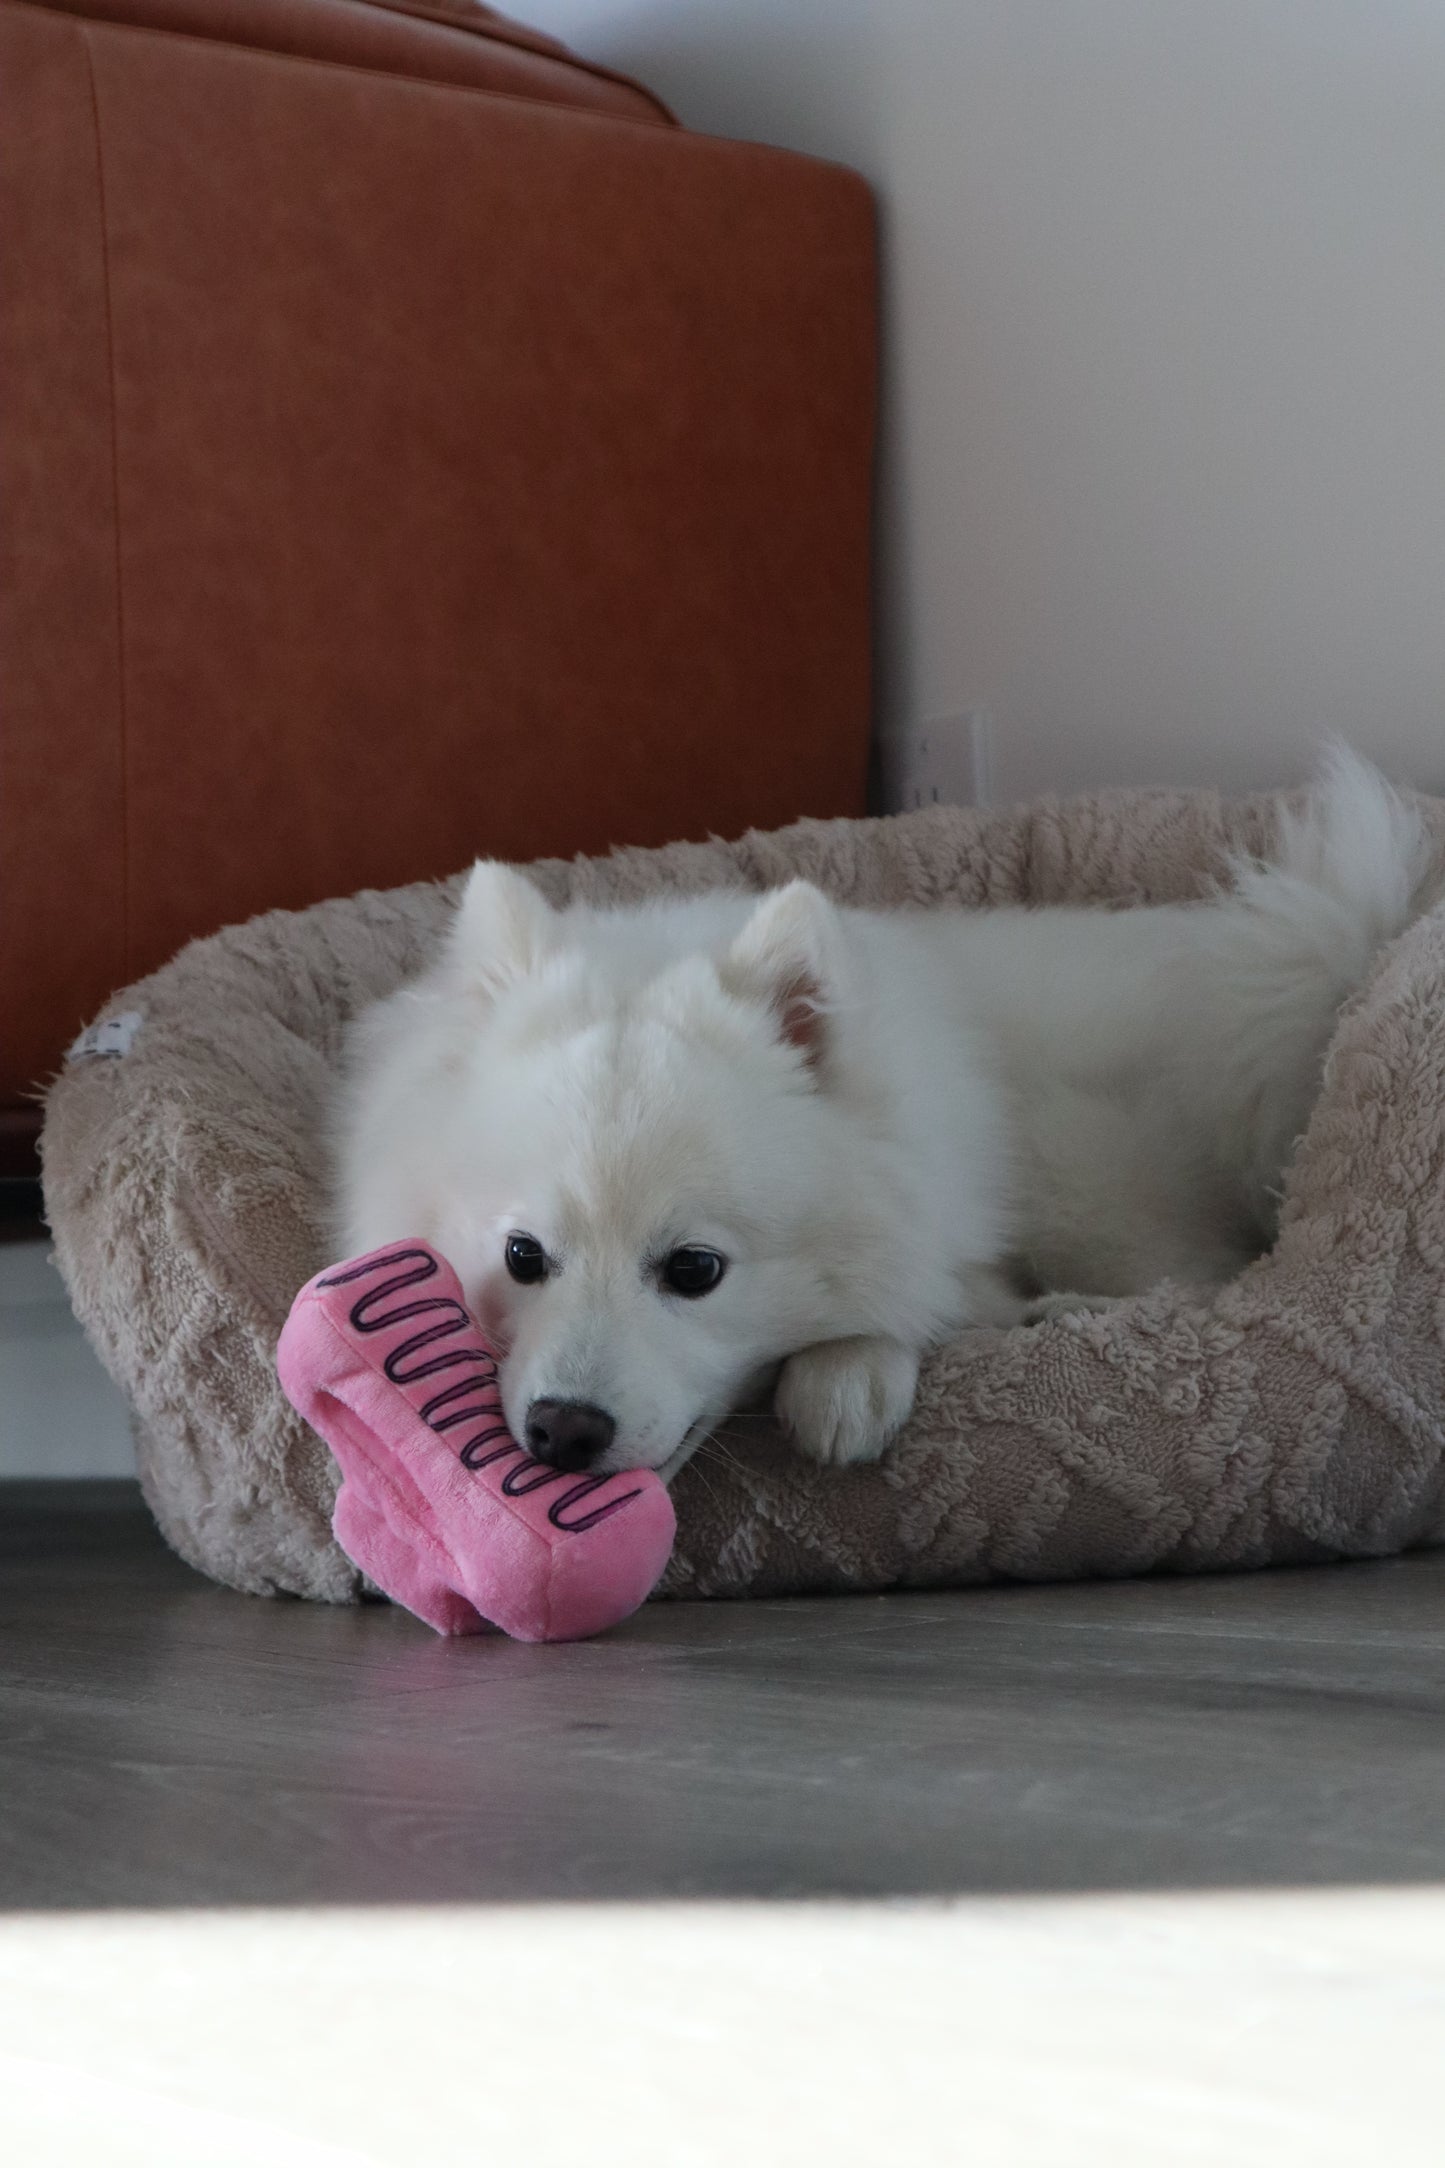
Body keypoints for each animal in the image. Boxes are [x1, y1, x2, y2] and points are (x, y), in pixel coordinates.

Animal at [335, 754, 1421, 1482]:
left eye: (694, 1270)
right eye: (521, 1256)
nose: (564, 1430)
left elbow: (919, 1295)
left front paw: (847, 1374)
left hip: (1074, 1161)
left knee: (1201, 1277)